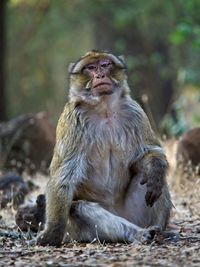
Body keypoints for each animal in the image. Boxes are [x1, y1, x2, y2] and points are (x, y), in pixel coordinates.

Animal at [36, 50, 172, 247]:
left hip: (135, 215)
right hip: (80, 230)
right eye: (91, 68)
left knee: (149, 178)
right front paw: (52, 233)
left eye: (105, 64)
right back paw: (137, 233)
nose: (100, 75)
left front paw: (155, 167)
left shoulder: (136, 113)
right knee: (80, 208)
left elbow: (147, 154)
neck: (104, 109)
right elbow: (63, 178)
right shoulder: (72, 121)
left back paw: (157, 229)